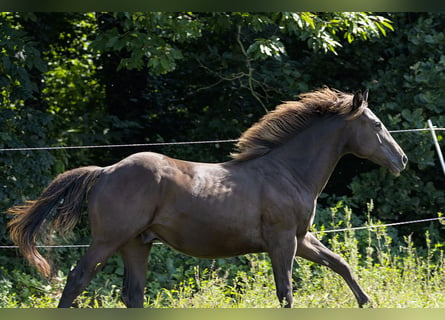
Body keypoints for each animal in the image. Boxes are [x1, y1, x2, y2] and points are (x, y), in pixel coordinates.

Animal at [8, 87, 408, 308]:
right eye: (376, 124)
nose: (401, 159)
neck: (287, 172)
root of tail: (105, 171)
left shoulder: (300, 238)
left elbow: (341, 264)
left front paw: (369, 303)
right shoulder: (283, 241)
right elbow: (286, 291)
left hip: (137, 244)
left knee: (132, 295)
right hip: (108, 240)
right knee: (77, 280)